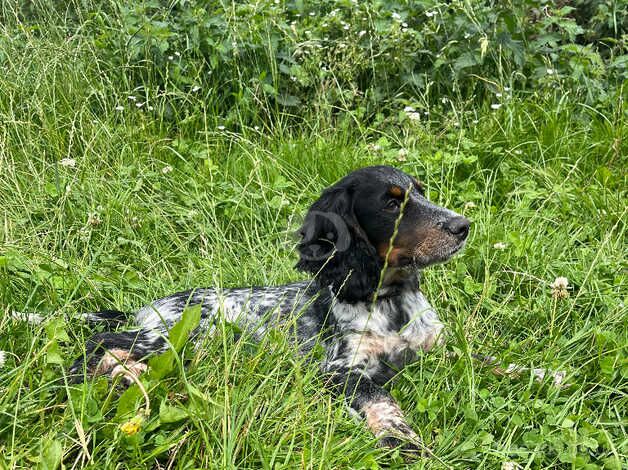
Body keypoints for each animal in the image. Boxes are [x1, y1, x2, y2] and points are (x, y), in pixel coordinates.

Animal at [65, 166, 560, 456]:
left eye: (421, 192)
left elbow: (483, 358)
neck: (388, 298)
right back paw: (106, 376)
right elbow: (382, 399)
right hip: (184, 335)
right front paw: (402, 440)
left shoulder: (432, 346)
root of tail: (143, 308)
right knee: (99, 343)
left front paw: (543, 374)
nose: (462, 226)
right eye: (391, 202)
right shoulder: (339, 370)